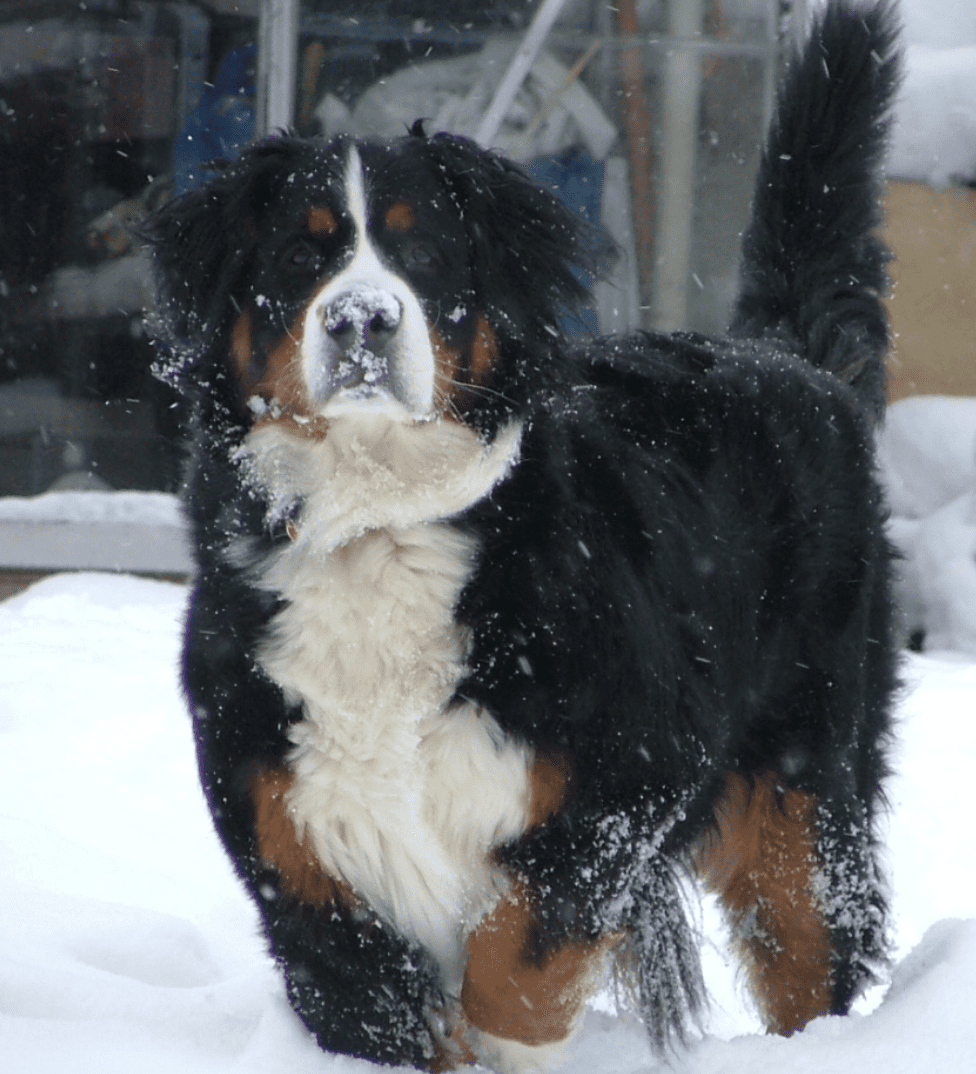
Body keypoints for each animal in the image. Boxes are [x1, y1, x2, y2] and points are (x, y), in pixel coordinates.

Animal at [142, 4, 897, 1069]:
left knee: (809, 951)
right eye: (302, 253)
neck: (378, 523)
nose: (362, 319)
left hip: (800, 798)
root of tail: (785, 355)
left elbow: (517, 966)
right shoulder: (296, 844)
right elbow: (382, 1005)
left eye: (420, 254)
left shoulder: (623, 779)